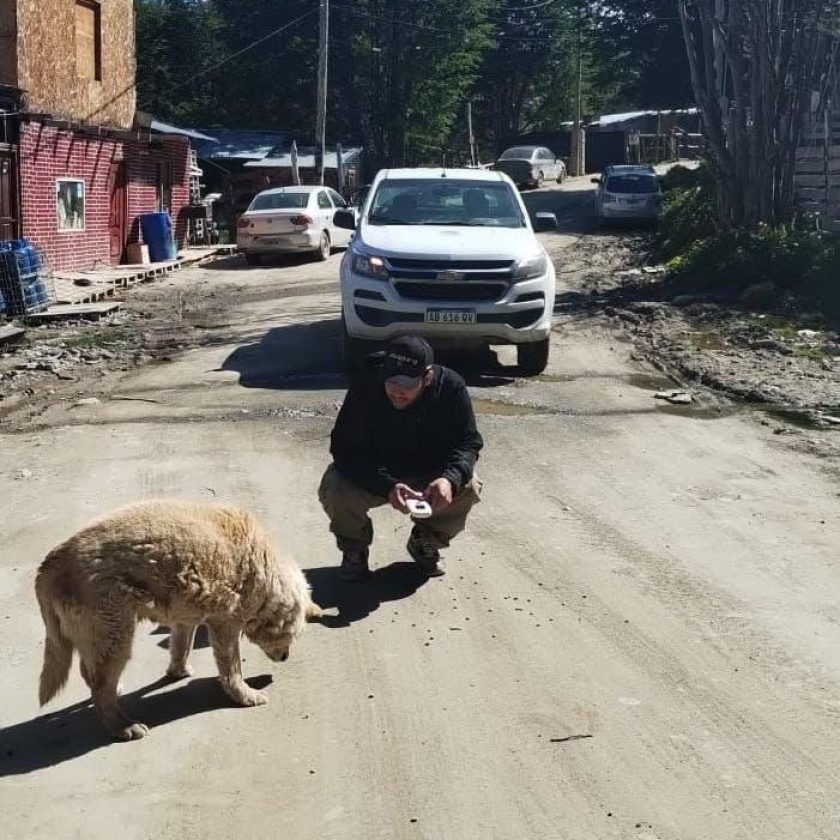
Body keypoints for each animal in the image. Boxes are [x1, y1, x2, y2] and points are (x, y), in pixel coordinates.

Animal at [35, 500, 322, 741]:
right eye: (293, 635)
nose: (285, 658)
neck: (262, 569)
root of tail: (49, 565)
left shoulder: (186, 616)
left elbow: (181, 646)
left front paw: (178, 671)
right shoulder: (225, 624)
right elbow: (232, 669)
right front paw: (244, 695)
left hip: (99, 636)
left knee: (91, 672)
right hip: (115, 633)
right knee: (100, 686)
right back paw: (122, 726)